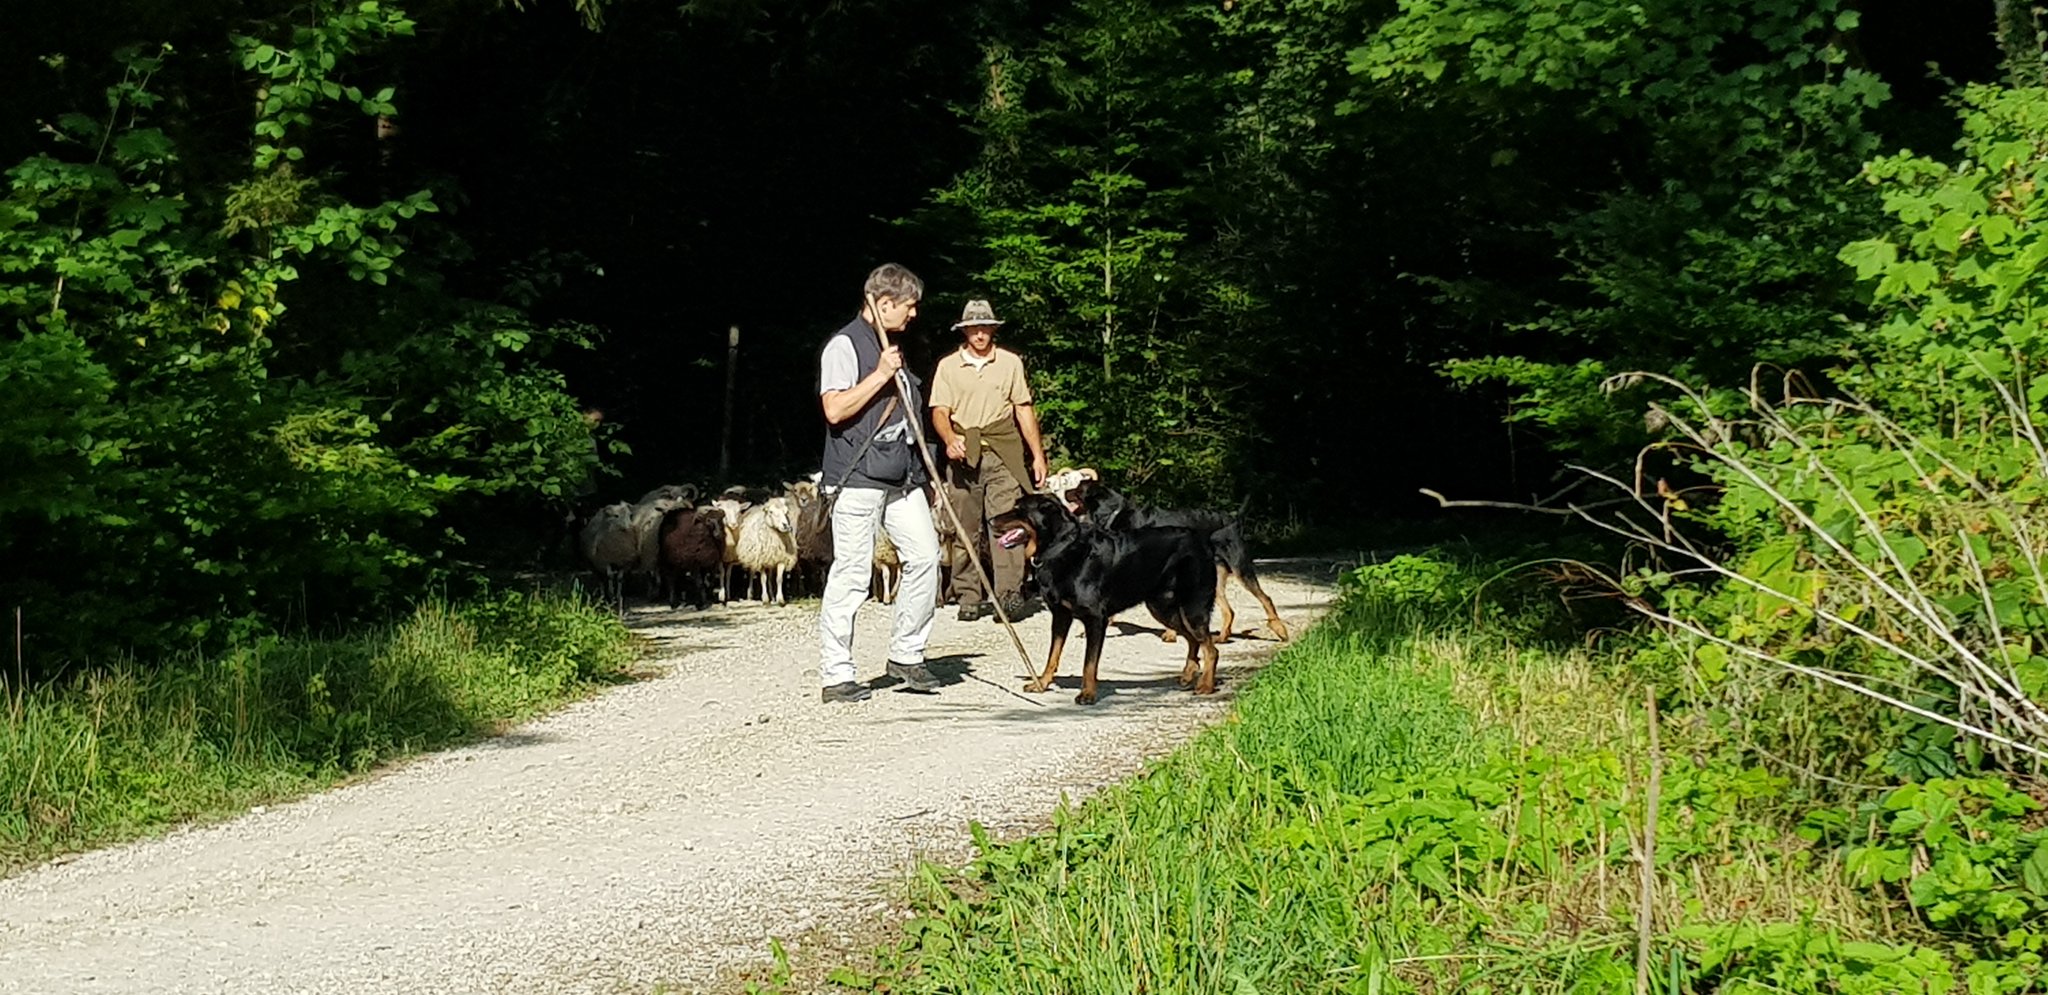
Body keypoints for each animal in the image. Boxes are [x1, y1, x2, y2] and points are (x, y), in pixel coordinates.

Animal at [990, 494, 1223, 704]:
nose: (990, 521)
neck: (1060, 548)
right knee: (1194, 640)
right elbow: (1053, 655)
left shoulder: (1095, 619)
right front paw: (1042, 683)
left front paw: (1087, 694)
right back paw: (1188, 675)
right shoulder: (1061, 616)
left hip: (1192, 608)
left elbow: (1089, 663)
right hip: (1163, 608)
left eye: (1019, 509)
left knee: (1211, 649)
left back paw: (1205, 686)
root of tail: (1203, 541)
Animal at [1069, 479, 1289, 644]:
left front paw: (1170, 634)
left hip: (1239, 566)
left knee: (1265, 598)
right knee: (1229, 610)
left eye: (1078, 488)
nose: (1065, 492)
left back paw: (1280, 629)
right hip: (1213, 575)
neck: (1114, 514)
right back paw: (1222, 637)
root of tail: (1233, 520)